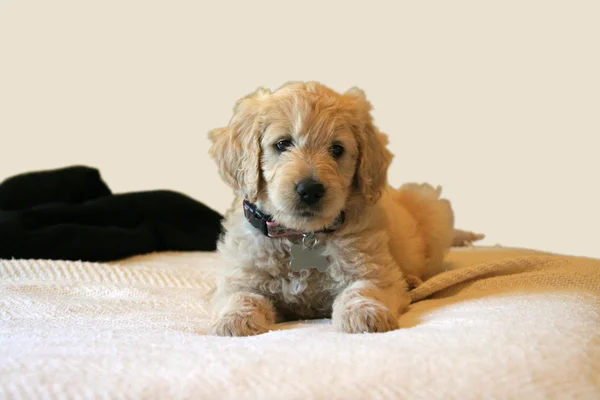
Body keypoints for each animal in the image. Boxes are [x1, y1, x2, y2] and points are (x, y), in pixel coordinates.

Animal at [206, 80, 482, 334]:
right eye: (282, 144)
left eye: (337, 149)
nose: (310, 190)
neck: (302, 235)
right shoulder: (239, 277)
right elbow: (241, 296)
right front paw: (234, 320)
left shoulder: (374, 270)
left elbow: (362, 288)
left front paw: (364, 314)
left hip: (433, 211)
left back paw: (413, 279)